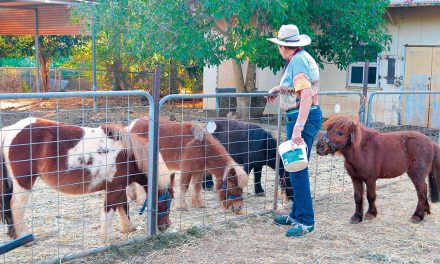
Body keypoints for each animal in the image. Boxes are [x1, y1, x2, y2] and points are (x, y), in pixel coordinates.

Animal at [0, 117, 175, 243]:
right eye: (169, 198)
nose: (166, 225)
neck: (129, 155)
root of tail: (10, 131)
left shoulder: (119, 186)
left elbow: (123, 205)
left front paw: (128, 228)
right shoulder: (115, 187)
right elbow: (109, 209)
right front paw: (109, 236)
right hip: (23, 182)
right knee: (16, 206)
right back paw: (26, 238)